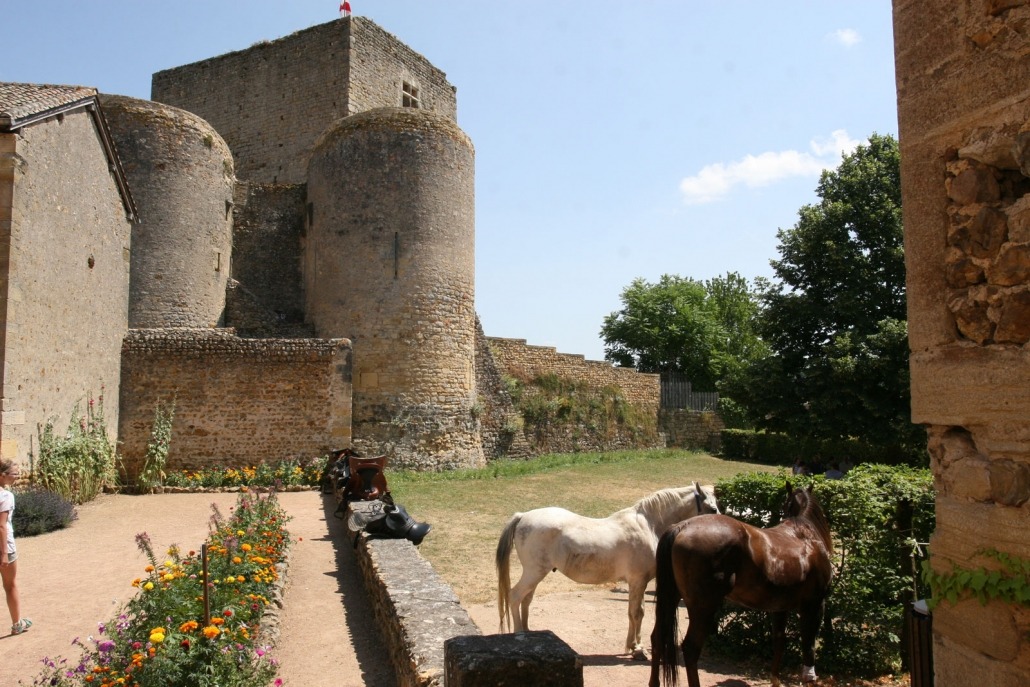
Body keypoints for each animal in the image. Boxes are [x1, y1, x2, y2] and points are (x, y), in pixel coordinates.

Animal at [494, 482, 721, 659]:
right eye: (713, 509)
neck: (647, 525)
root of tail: (523, 516)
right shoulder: (638, 581)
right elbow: (636, 613)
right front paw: (638, 650)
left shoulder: (638, 583)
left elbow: (636, 612)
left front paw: (633, 645)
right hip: (534, 572)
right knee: (515, 596)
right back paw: (520, 636)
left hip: (536, 574)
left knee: (526, 599)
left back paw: (530, 633)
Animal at [646, 484, 832, 687]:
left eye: (784, 506)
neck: (804, 535)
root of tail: (681, 526)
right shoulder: (814, 604)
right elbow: (809, 644)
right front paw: (809, 678)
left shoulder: (780, 607)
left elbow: (779, 641)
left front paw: (776, 680)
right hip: (703, 607)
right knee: (690, 649)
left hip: (671, 597)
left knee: (657, 639)